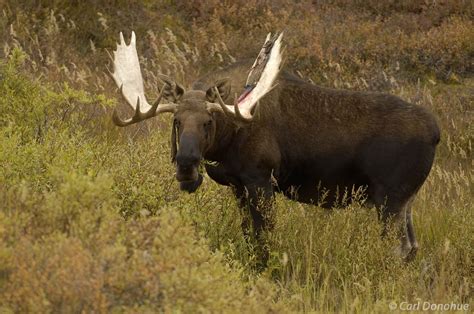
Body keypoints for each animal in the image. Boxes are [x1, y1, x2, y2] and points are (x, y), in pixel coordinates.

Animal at [109, 31, 438, 262]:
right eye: (176, 121)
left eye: (208, 122)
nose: (187, 163)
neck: (227, 138)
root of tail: (437, 133)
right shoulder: (237, 184)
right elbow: (248, 233)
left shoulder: (260, 178)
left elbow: (263, 236)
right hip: (405, 200)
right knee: (412, 247)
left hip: (390, 198)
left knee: (399, 248)